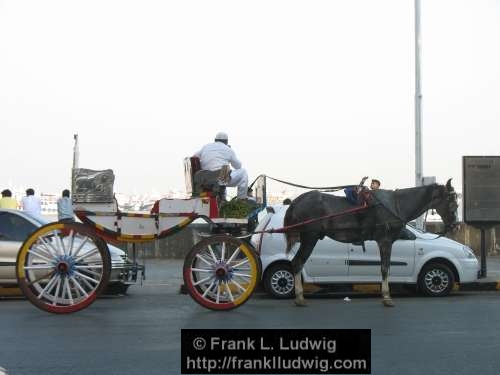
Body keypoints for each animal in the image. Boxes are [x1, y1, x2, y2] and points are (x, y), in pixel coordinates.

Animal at [284, 181, 458, 306]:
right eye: (452, 202)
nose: (456, 226)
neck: (395, 204)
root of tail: (296, 202)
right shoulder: (385, 241)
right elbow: (385, 268)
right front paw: (386, 297)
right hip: (310, 237)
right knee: (297, 262)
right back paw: (299, 297)